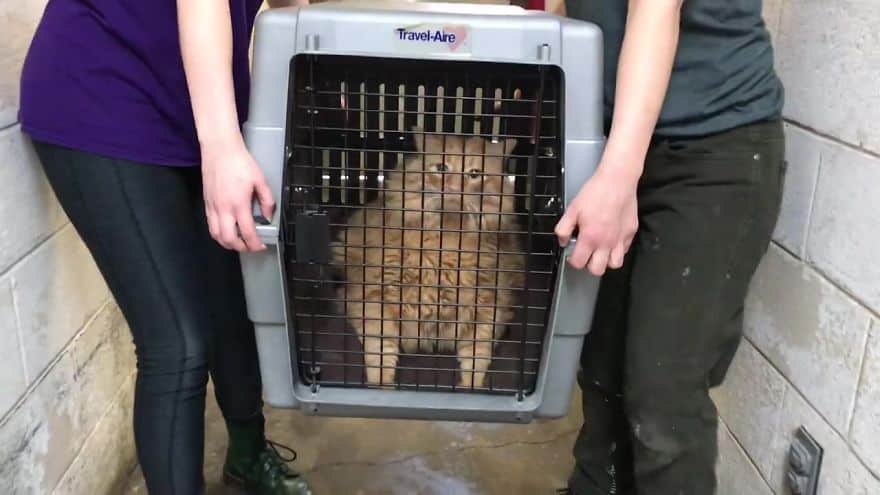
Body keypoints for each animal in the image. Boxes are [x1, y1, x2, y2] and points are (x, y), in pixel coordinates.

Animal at [330, 133, 524, 392]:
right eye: (442, 168)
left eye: (474, 173)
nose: (453, 187)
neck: (445, 244)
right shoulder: (374, 300)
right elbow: (380, 351)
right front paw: (381, 386)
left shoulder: (488, 307)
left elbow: (476, 357)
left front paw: (470, 388)